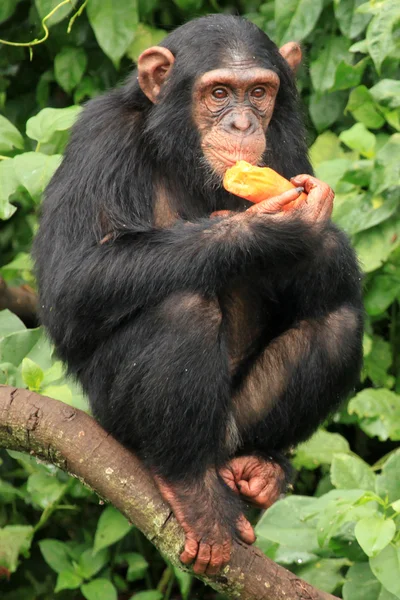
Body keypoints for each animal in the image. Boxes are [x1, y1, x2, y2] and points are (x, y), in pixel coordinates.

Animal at [34, 15, 364, 576]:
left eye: (259, 93)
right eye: (218, 93)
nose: (242, 124)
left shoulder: (288, 152)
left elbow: (329, 279)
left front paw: (314, 232)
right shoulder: (99, 139)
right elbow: (71, 283)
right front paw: (268, 231)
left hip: (236, 423)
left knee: (338, 325)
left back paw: (262, 465)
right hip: (115, 419)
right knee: (182, 311)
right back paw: (193, 492)